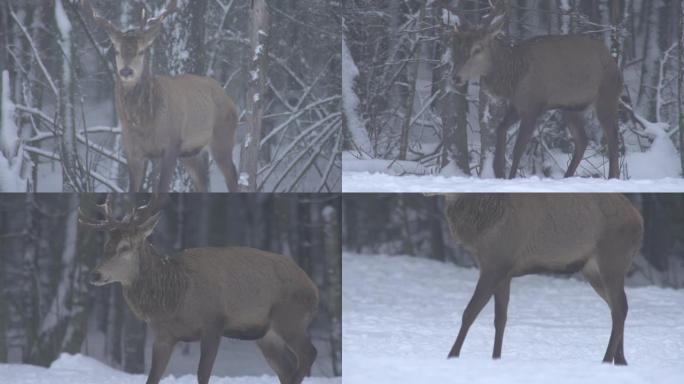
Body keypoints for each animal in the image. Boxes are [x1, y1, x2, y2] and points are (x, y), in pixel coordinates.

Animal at [78, 0, 239, 192]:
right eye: (116, 51)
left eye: (141, 51)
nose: (126, 71)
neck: (144, 123)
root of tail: (228, 98)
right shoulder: (132, 151)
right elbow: (132, 193)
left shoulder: (171, 144)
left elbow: (160, 192)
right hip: (191, 152)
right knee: (203, 183)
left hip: (222, 136)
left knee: (233, 178)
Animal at [79, 195, 320, 384]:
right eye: (106, 246)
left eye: (125, 247)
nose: (95, 275)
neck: (175, 299)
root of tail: (314, 288)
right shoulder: (163, 335)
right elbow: (152, 377)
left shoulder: (214, 322)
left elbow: (202, 374)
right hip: (267, 335)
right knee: (286, 369)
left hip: (291, 318)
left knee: (309, 354)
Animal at [440, 194, 644, 364]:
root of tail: (639, 219)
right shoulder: (504, 272)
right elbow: (501, 319)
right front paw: (496, 358)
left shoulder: (495, 265)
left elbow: (470, 312)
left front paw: (452, 355)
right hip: (592, 270)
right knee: (618, 307)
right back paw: (620, 359)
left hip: (613, 260)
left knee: (619, 308)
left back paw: (607, 359)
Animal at [452, 4, 624, 178]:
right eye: (460, 48)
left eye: (477, 49)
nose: (456, 77)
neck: (513, 78)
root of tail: (616, 66)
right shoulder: (517, 105)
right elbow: (500, 129)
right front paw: (498, 170)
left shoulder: (533, 107)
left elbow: (518, 148)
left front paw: (510, 176)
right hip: (571, 108)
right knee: (583, 140)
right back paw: (567, 176)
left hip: (607, 97)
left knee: (613, 137)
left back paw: (612, 176)